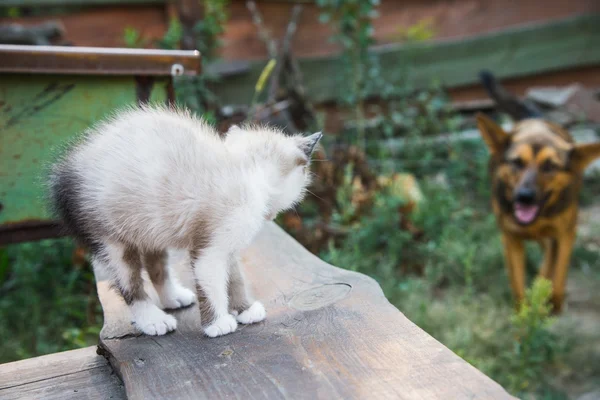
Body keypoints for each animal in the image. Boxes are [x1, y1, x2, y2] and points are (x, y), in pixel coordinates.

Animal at [48, 104, 322, 336]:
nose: (272, 215)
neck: (246, 170)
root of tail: (67, 170)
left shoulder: (227, 245)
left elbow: (235, 278)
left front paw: (244, 309)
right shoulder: (209, 249)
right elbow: (212, 286)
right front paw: (217, 324)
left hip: (151, 226)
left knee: (157, 267)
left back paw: (173, 298)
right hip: (114, 239)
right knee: (131, 284)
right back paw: (153, 320)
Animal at [480, 112, 600, 312]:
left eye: (550, 166)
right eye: (517, 162)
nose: (524, 197)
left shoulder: (565, 234)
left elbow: (558, 273)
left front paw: (551, 301)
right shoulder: (511, 239)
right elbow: (518, 286)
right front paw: (525, 309)